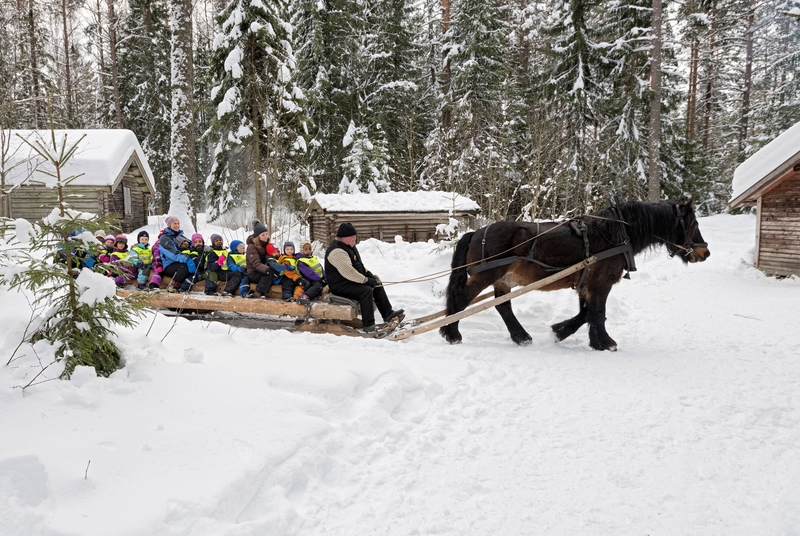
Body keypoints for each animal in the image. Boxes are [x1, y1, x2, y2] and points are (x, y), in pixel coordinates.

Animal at [440, 199, 708, 350]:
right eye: (693, 225)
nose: (705, 252)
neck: (617, 234)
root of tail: (476, 232)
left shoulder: (586, 282)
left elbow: (585, 313)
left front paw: (561, 331)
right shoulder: (601, 283)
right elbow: (597, 313)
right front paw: (605, 343)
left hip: (502, 279)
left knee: (503, 306)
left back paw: (521, 337)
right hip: (486, 274)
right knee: (461, 299)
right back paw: (452, 334)